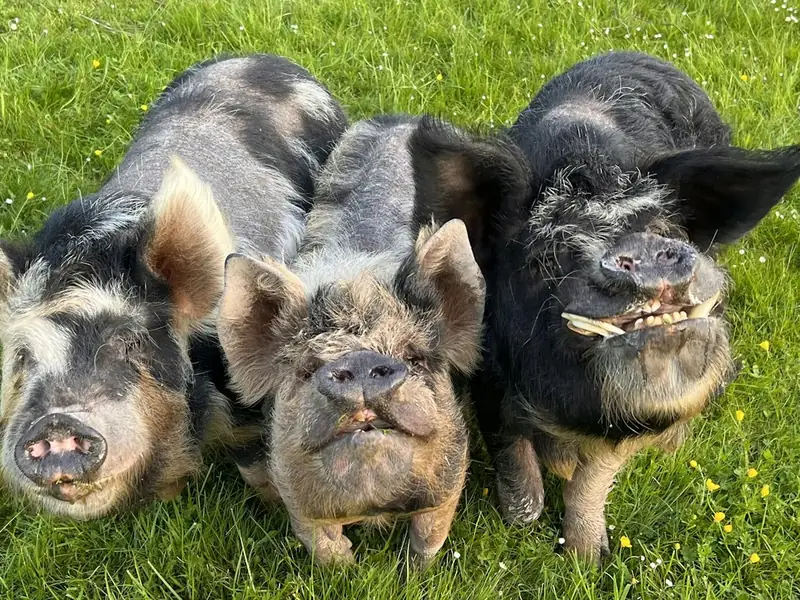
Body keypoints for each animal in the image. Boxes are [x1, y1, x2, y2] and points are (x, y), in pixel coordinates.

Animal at [216, 114, 523, 567]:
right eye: (306, 369)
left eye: (415, 357)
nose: (359, 363)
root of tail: (399, 118)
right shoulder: (297, 500)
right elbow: (322, 545)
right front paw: (347, 567)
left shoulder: (449, 481)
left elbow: (430, 534)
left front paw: (413, 571)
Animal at [464, 51, 800, 563]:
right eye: (546, 257)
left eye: (664, 229)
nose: (643, 248)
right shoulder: (485, 371)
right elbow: (513, 461)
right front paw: (524, 522)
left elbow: (593, 476)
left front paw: (588, 558)